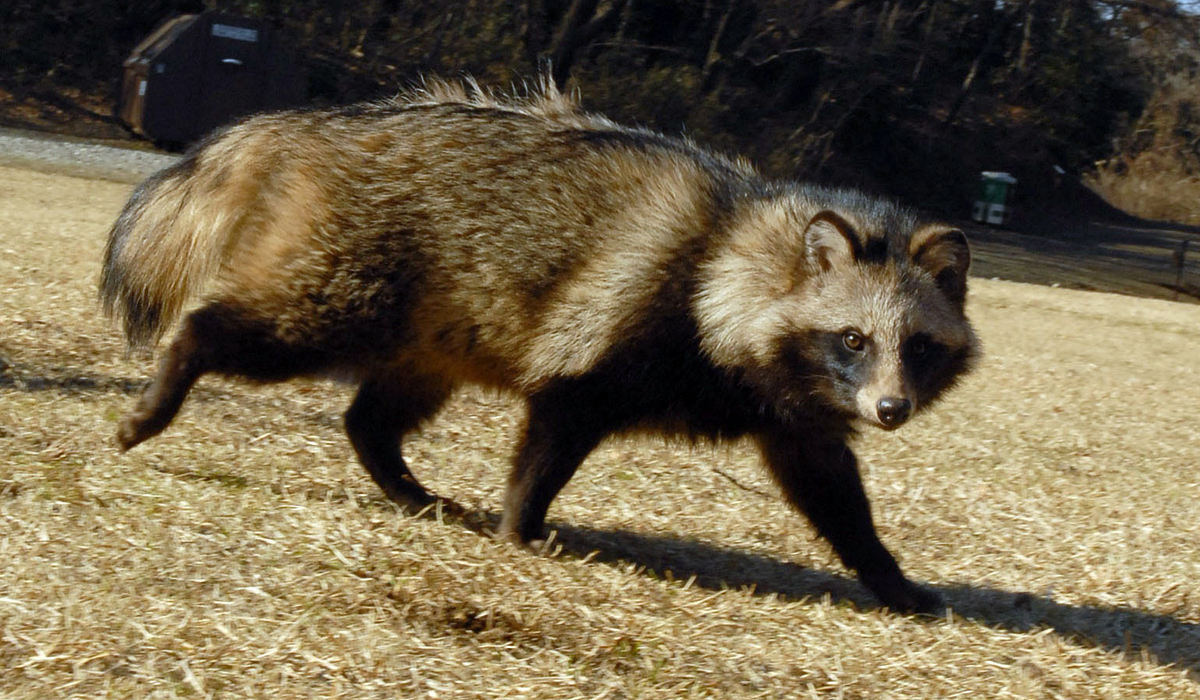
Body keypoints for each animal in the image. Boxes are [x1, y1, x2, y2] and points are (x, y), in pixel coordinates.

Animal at [103, 78, 979, 614]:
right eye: (854, 337)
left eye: (918, 347)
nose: (891, 409)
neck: (738, 248)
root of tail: (294, 128)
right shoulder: (618, 336)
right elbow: (553, 433)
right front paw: (523, 522)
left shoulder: (795, 407)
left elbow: (831, 488)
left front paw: (887, 572)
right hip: (345, 284)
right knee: (245, 329)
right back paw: (169, 381)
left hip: (431, 327)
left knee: (375, 415)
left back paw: (401, 479)